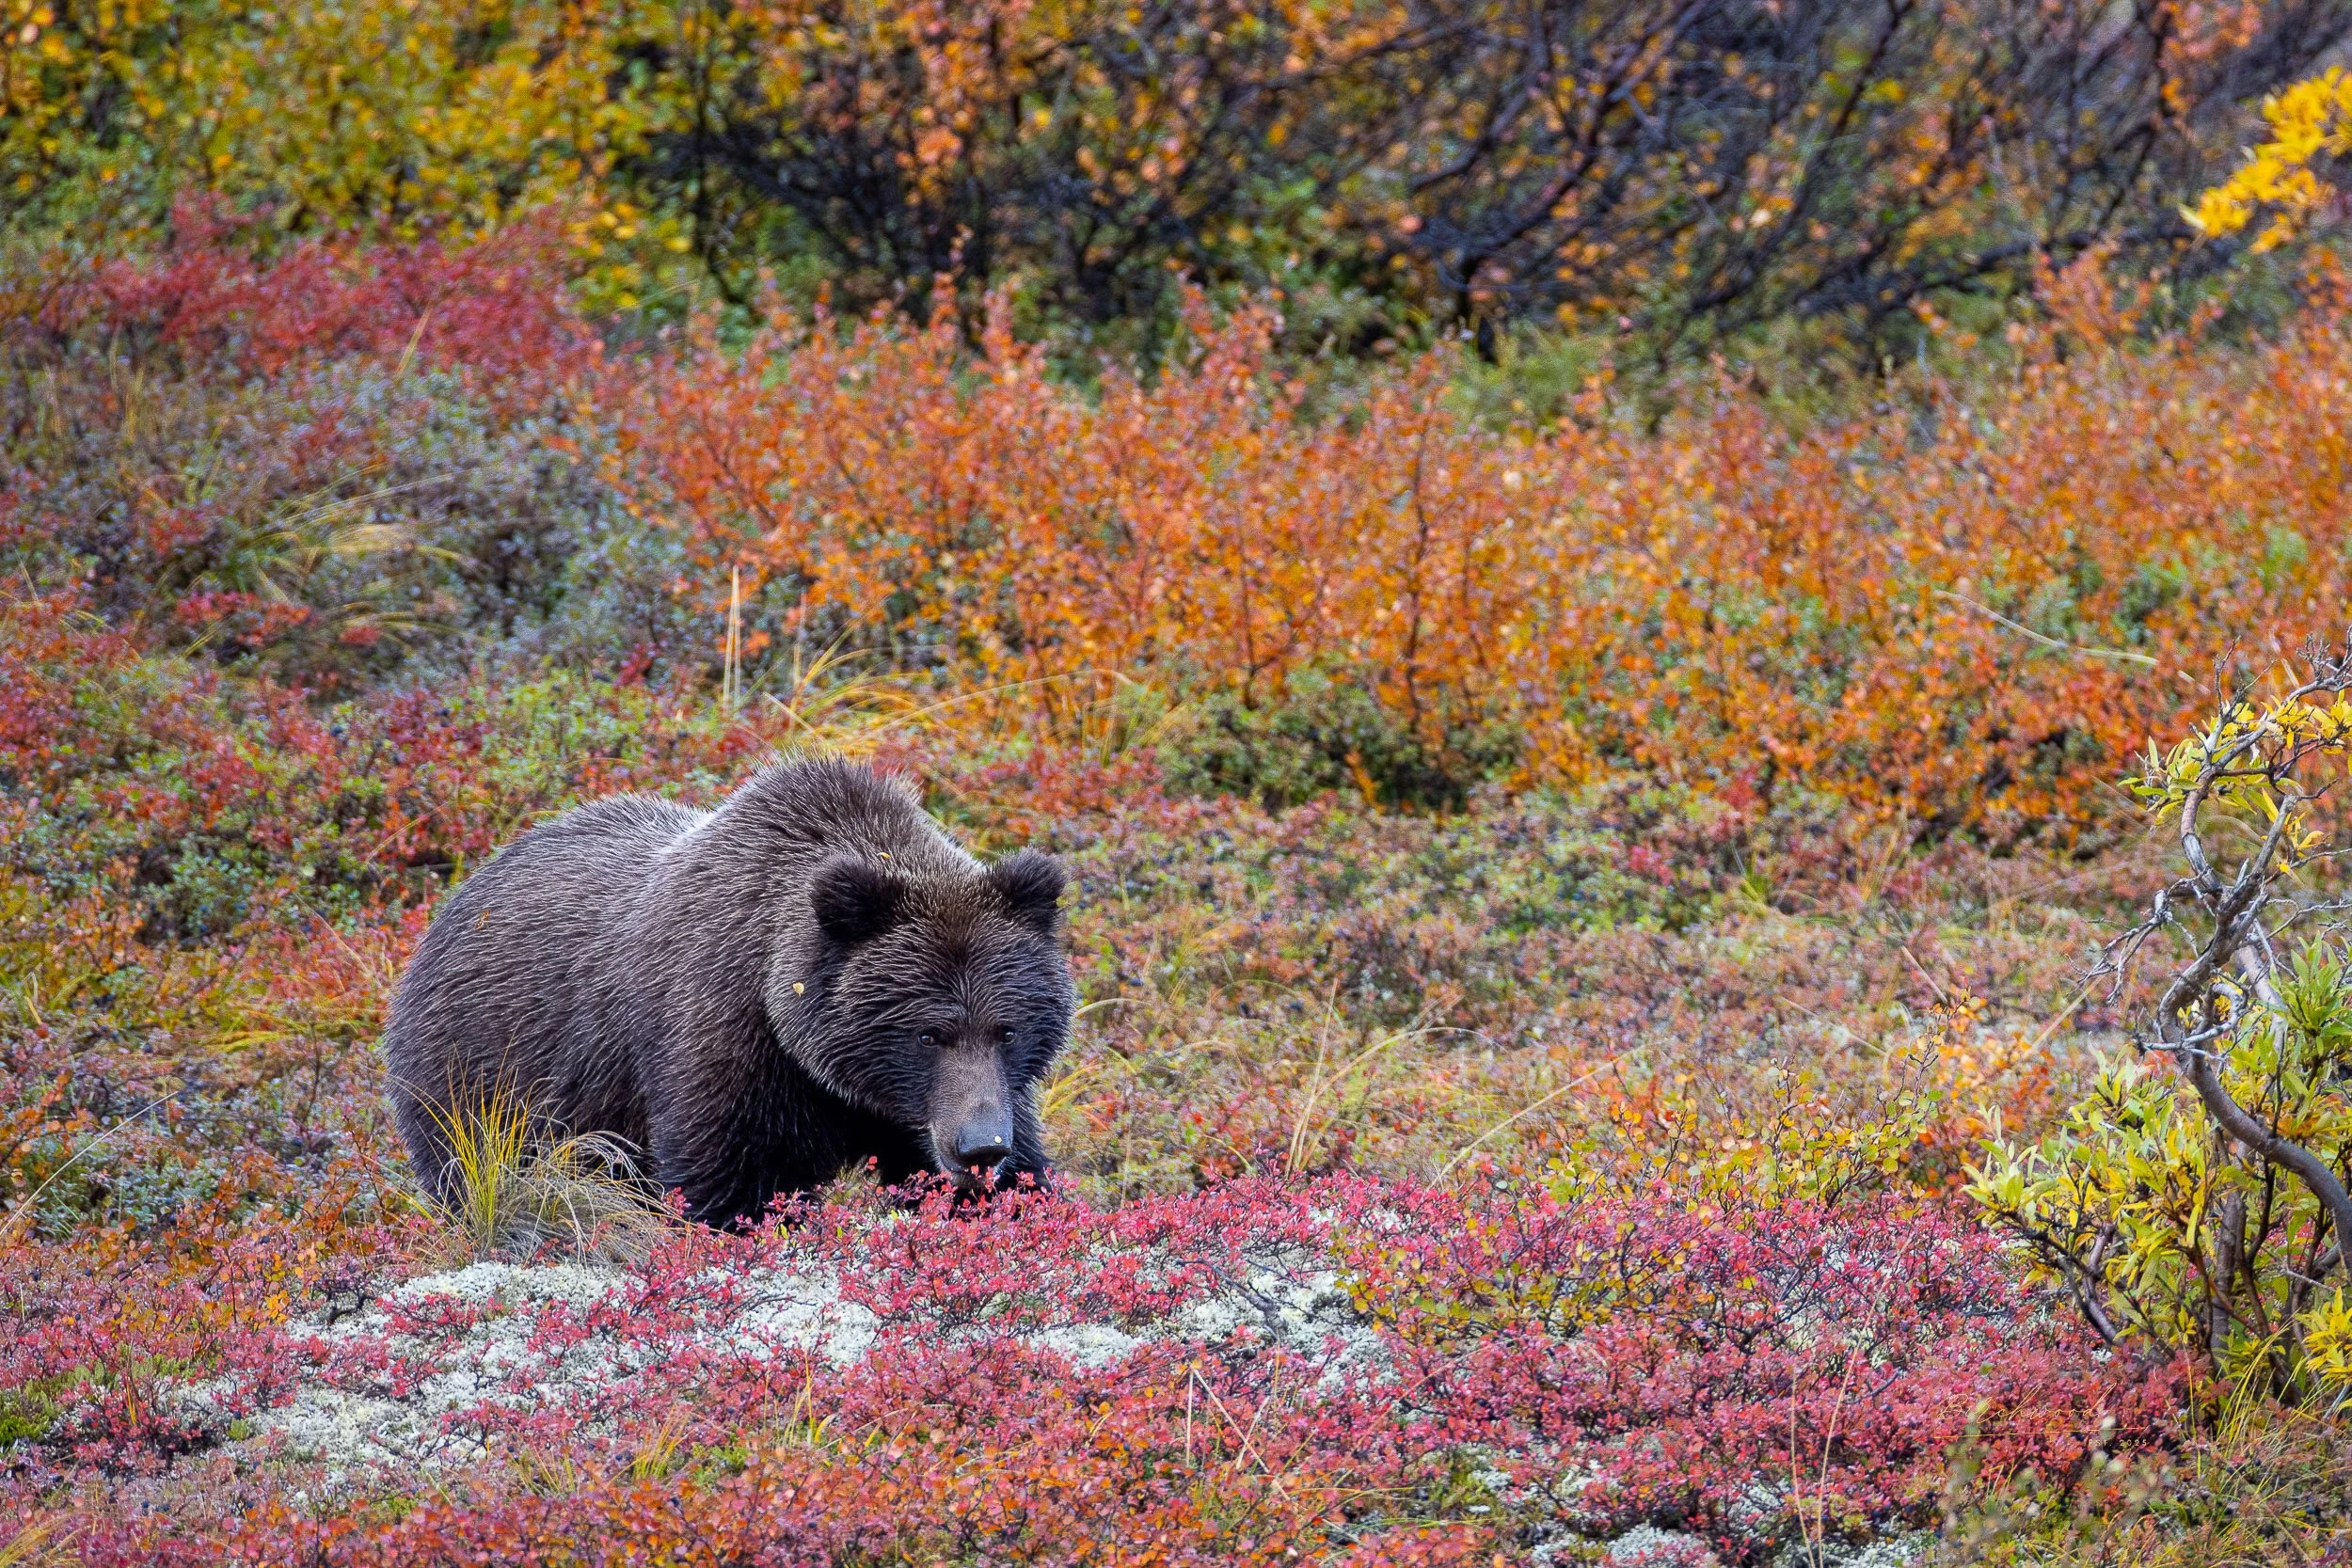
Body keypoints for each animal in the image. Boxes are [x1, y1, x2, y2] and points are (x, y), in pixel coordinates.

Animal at [383, 758, 1074, 1227]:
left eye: (1007, 1028)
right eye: (929, 1032)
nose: (979, 1147)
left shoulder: (955, 1102)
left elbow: (1018, 1184)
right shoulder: (727, 1048)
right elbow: (732, 1191)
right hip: (480, 1084)